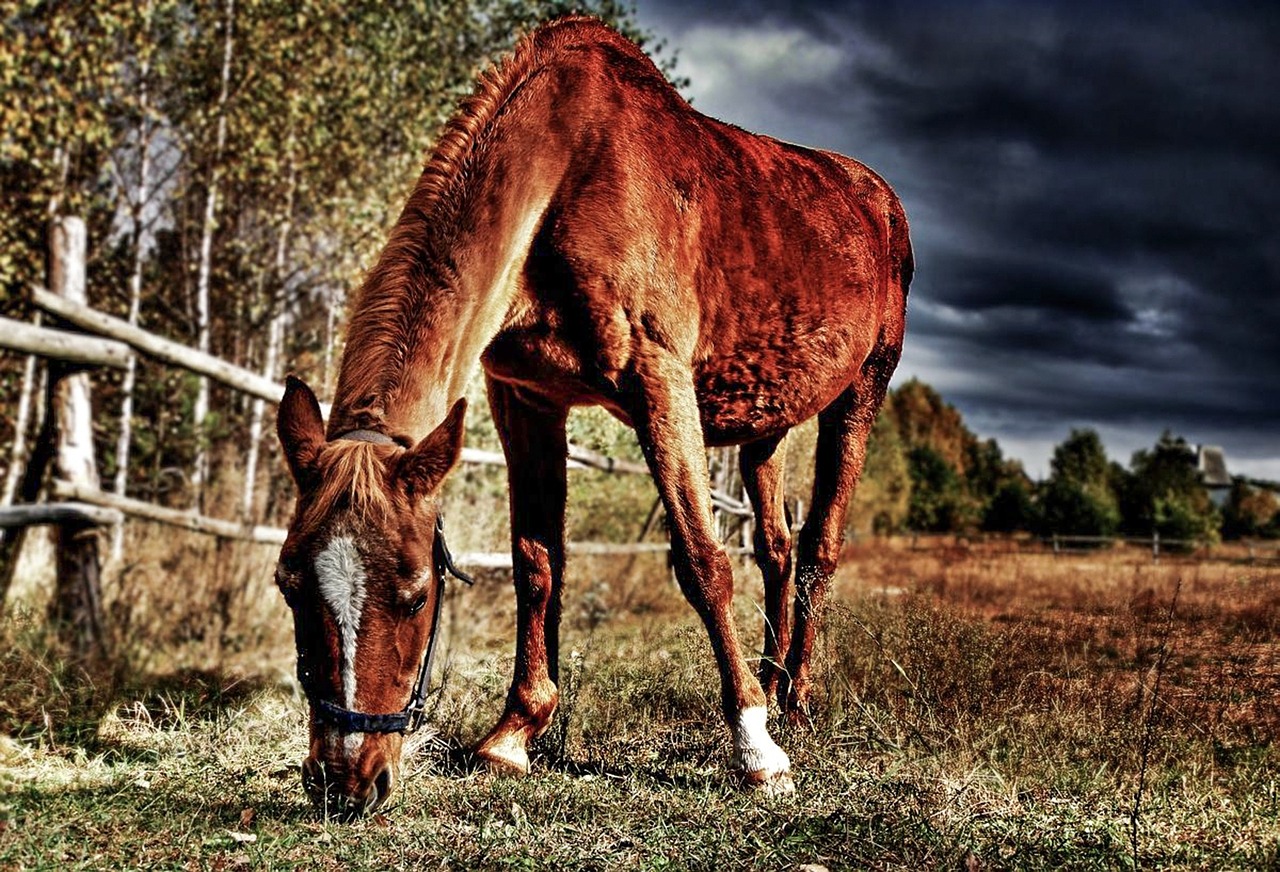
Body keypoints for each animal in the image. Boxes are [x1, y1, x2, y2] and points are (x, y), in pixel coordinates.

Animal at [275, 13, 911, 814]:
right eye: (290, 584)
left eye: (416, 594)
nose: (344, 781)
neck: (566, 169)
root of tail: (878, 197)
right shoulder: (525, 399)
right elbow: (537, 561)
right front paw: (514, 733)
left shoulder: (659, 380)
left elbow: (702, 562)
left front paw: (757, 752)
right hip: (764, 425)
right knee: (776, 548)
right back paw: (770, 685)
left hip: (862, 392)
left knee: (819, 548)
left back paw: (792, 703)